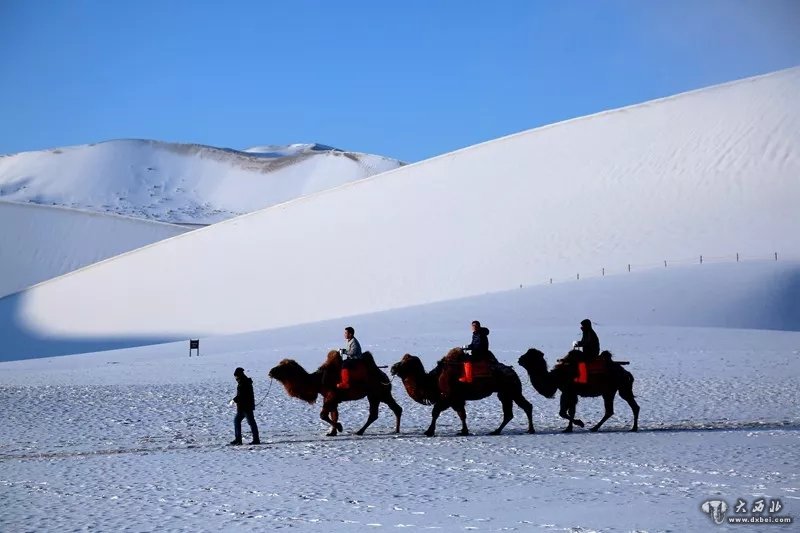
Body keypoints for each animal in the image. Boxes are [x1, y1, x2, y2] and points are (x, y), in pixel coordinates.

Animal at [268, 350, 404, 436]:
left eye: (283, 367)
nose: (270, 372)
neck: (317, 382)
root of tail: (385, 376)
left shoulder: (331, 396)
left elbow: (323, 415)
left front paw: (339, 427)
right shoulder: (330, 398)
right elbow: (334, 414)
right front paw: (332, 433)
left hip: (377, 393)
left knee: (381, 412)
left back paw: (360, 432)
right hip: (378, 395)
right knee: (392, 410)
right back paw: (394, 430)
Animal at [390, 350, 536, 436]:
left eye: (405, 363)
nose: (392, 368)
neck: (434, 380)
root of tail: (513, 372)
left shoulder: (448, 397)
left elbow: (436, 412)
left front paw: (429, 431)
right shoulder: (456, 399)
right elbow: (461, 414)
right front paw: (463, 431)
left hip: (511, 390)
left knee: (522, 408)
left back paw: (529, 429)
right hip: (505, 392)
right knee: (512, 412)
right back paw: (497, 431)